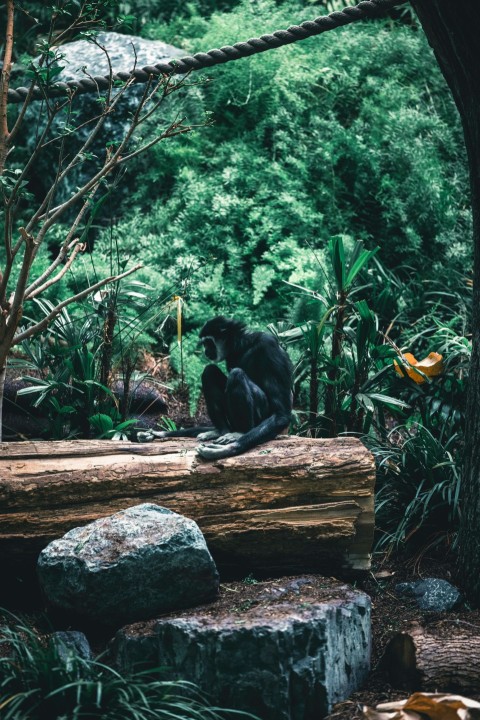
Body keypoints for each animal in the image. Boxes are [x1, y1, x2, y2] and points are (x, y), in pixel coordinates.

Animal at [137, 316, 294, 462]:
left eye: (208, 342)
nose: (206, 351)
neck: (243, 346)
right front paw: (160, 433)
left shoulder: (268, 346)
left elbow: (281, 414)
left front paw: (228, 449)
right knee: (209, 371)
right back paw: (220, 431)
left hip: (260, 415)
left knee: (237, 375)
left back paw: (240, 433)